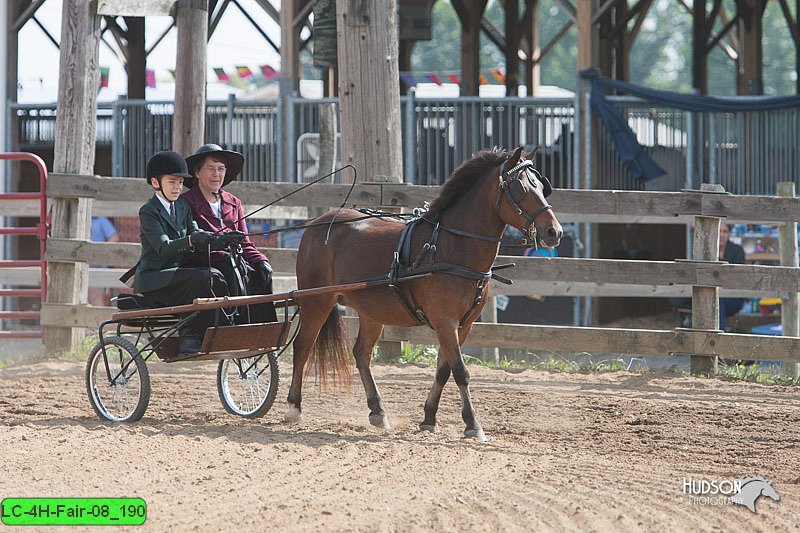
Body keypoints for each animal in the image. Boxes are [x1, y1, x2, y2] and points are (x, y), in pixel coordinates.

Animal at [282, 147, 564, 440]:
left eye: (541, 186)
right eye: (520, 188)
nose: (554, 232)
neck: (453, 246)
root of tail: (319, 223)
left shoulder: (463, 325)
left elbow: (443, 370)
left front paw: (429, 417)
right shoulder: (444, 321)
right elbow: (460, 371)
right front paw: (473, 424)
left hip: (371, 311)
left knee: (361, 353)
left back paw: (377, 410)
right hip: (316, 300)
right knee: (302, 347)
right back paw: (293, 407)